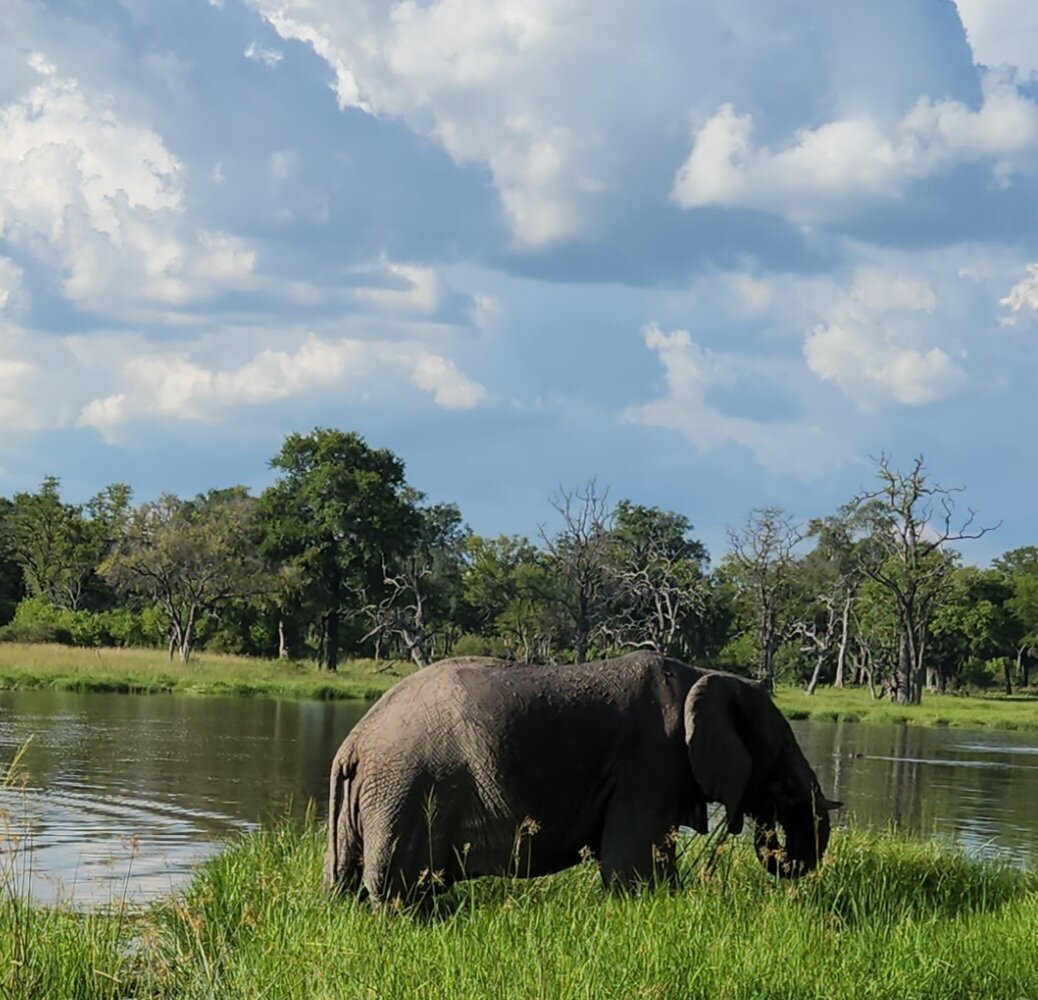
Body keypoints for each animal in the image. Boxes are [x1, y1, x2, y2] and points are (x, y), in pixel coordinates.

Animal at [325, 652, 842, 901]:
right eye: (782, 749)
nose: (778, 845)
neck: (704, 674)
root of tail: (353, 742)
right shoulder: (650, 761)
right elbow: (632, 870)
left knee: (346, 881)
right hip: (406, 790)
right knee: (398, 889)